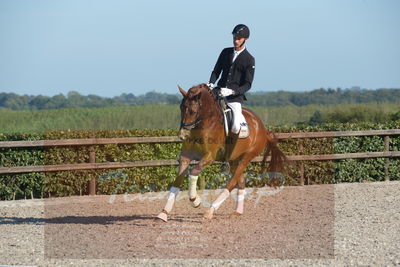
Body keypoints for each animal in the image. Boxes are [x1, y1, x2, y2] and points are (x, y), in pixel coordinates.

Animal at [155, 84, 284, 222]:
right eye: (181, 108)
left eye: (193, 111)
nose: (183, 135)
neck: (205, 123)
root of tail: (263, 128)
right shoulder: (185, 157)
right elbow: (177, 181)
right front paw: (163, 213)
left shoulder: (209, 157)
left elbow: (193, 172)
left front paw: (195, 200)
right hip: (234, 160)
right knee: (241, 181)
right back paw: (237, 212)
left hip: (246, 157)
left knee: (232, 183)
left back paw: (210, 211)